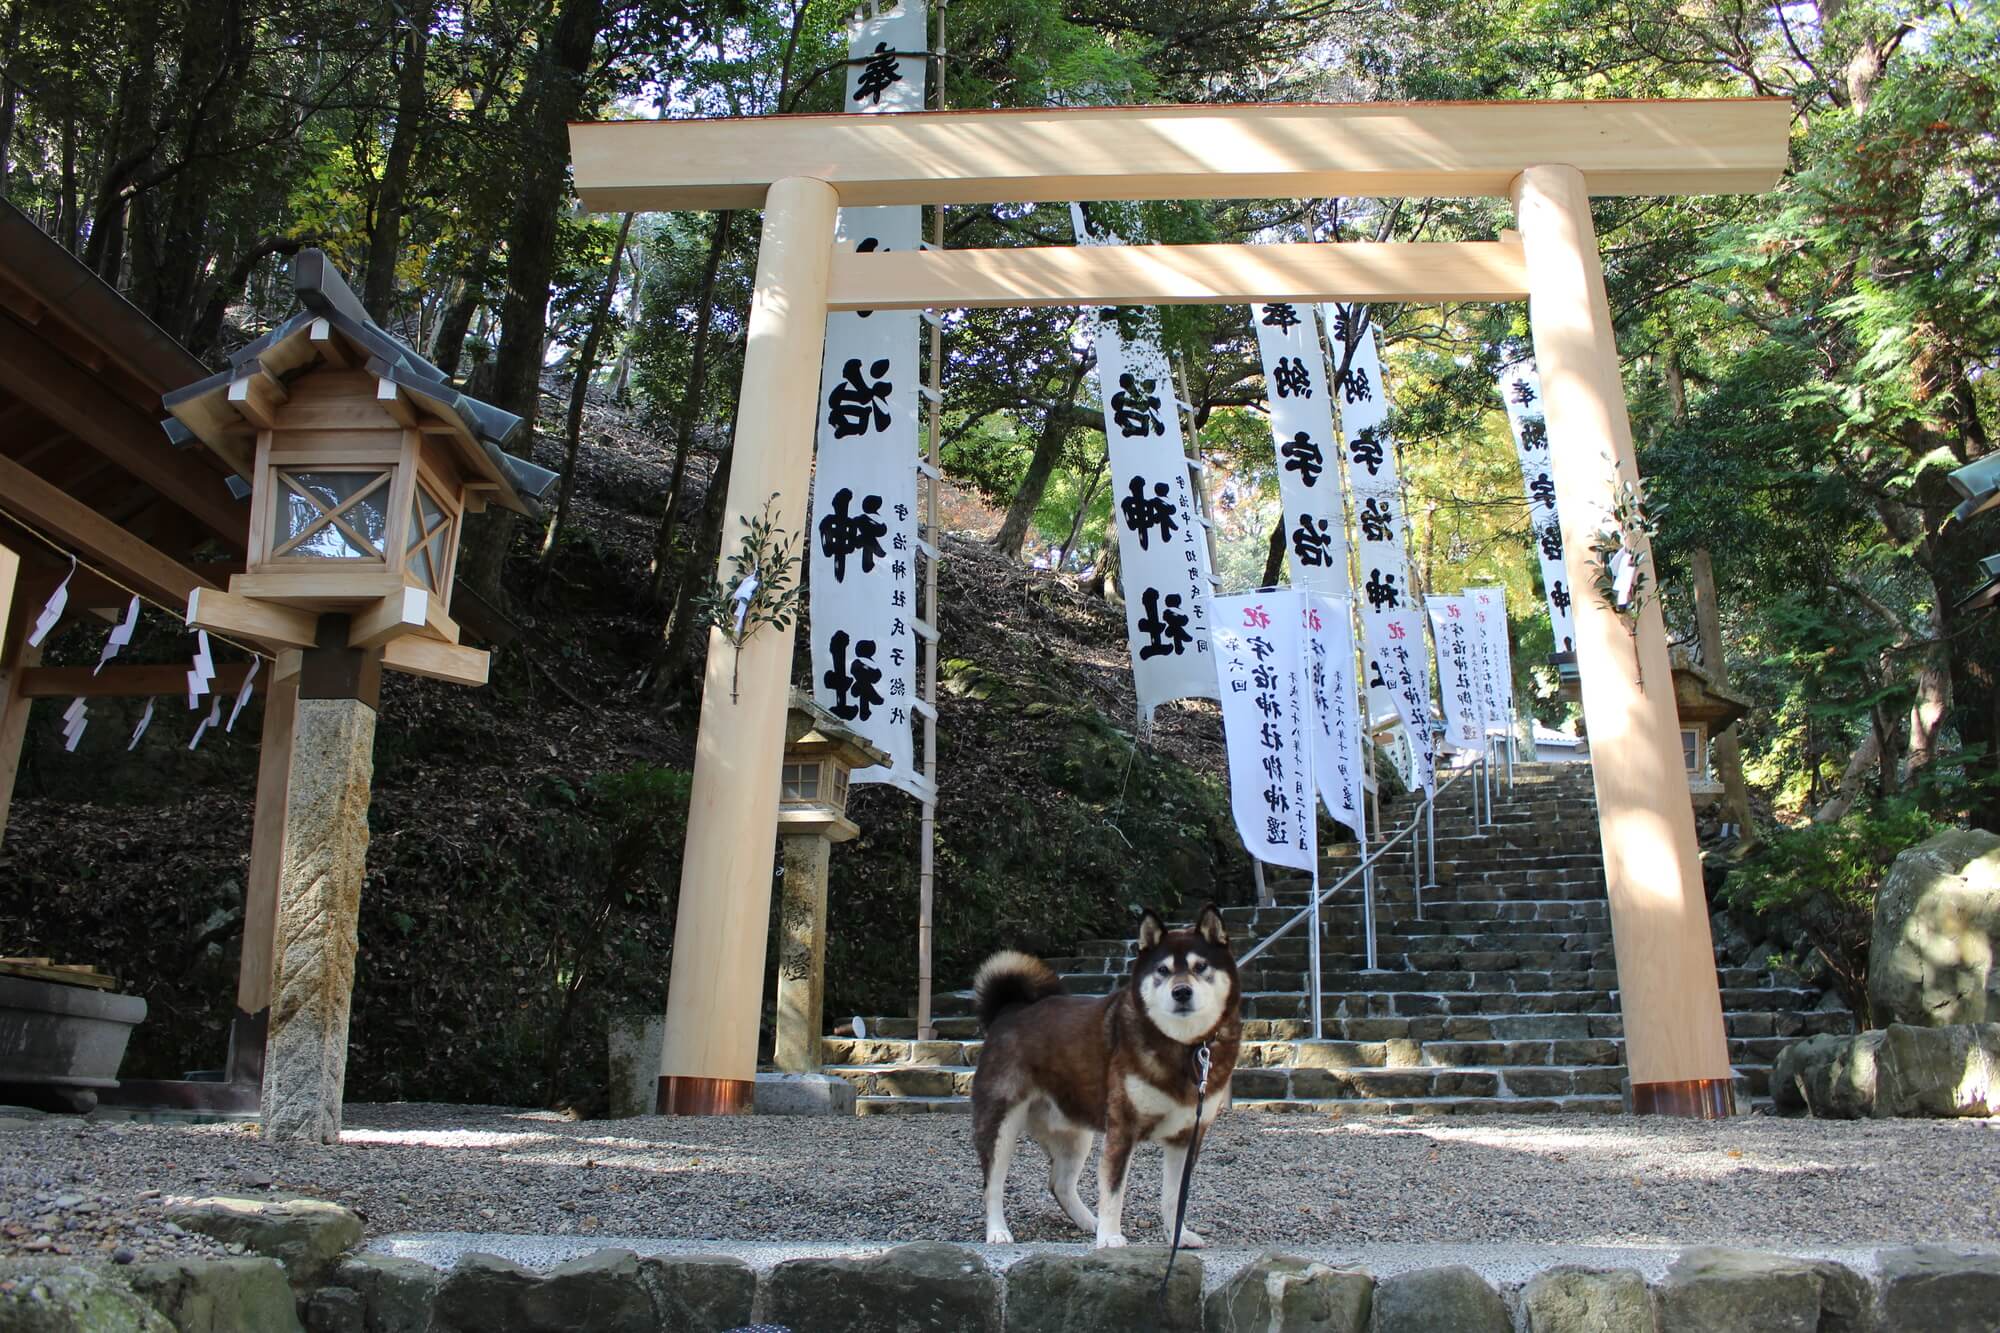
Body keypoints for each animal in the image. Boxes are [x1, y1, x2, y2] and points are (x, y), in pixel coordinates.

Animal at [968, 904, 1232, 1248]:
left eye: (1201, 967)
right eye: (1162, 970)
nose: (1182, 992)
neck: (1182, 1045)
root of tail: (1007, 1011)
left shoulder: (1186, 1137)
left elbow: (1175, 1198)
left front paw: (1178, 1236)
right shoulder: (1122, 1129)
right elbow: (1113, 1191)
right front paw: (1110, 1238)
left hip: (1076, 1135)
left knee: (1060, 1184)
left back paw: (1087, 1222)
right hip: (1001, 1126)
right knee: (992, 1186)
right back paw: (998, 1231)